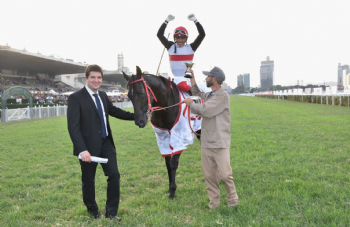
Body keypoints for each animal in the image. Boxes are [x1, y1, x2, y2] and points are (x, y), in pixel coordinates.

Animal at [123, 65, 200, 199]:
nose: (139, 121)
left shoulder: (179, 136)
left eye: (141, 92)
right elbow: (167, 163)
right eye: (128, 95)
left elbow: (173, 163)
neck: (167, 107)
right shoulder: (162, 136)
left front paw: (173, 191)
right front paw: (169, 189)